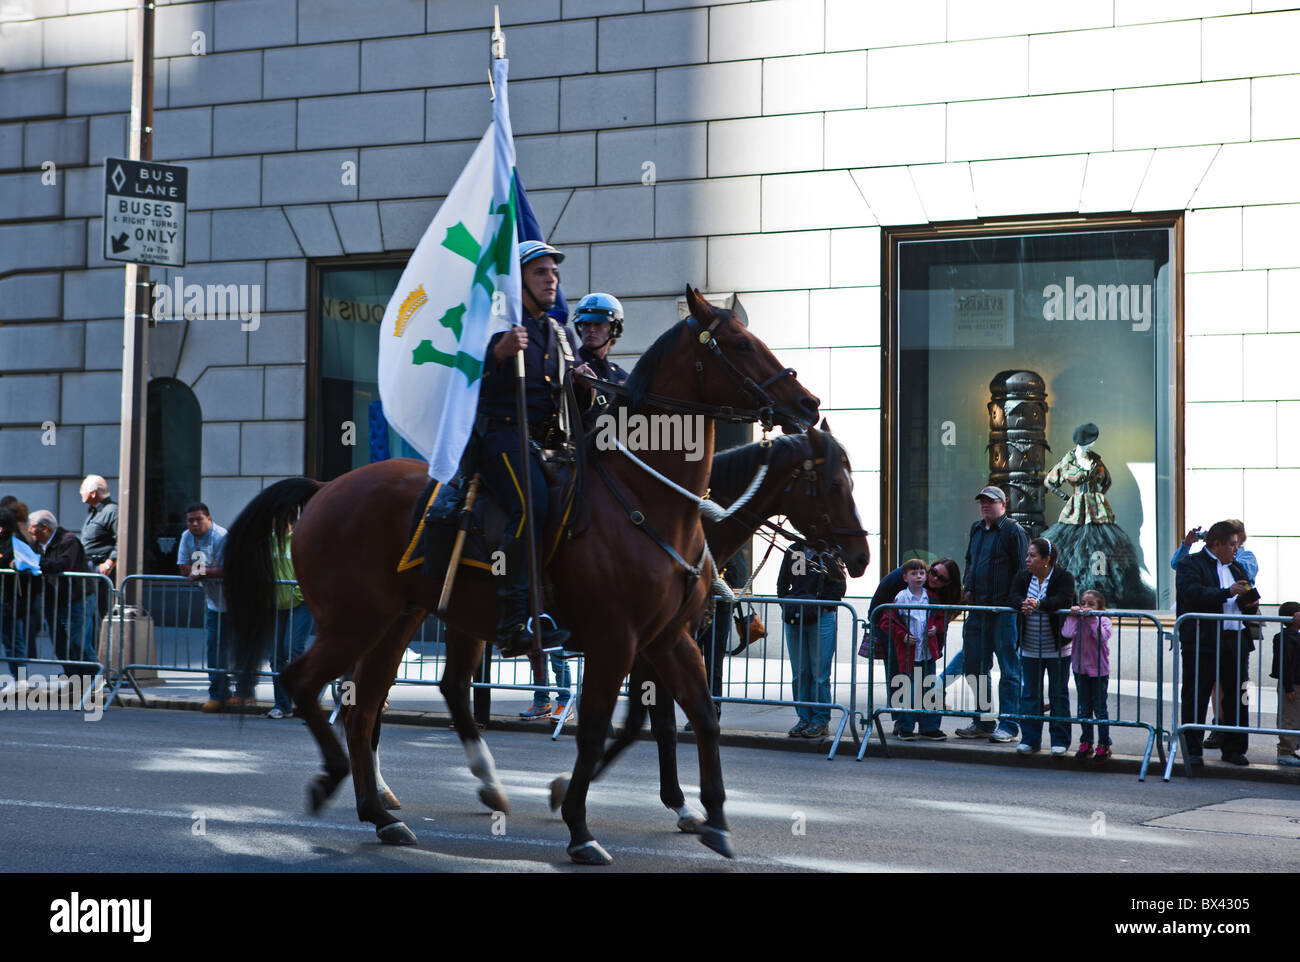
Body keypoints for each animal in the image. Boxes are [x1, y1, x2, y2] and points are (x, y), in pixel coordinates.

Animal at [223, 287, 821, 863]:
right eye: (740, 344)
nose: (808, 404)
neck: (649, 497)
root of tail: (325, 488)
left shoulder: (669, 638)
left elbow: (700, 717)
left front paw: (713, 819)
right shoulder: (615, 640)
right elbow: (598, 728)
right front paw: (579, 826)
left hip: (397, 622)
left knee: (364, 706)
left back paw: (384, 812)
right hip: (354, 621)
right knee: (306, 683)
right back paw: (341, 782)